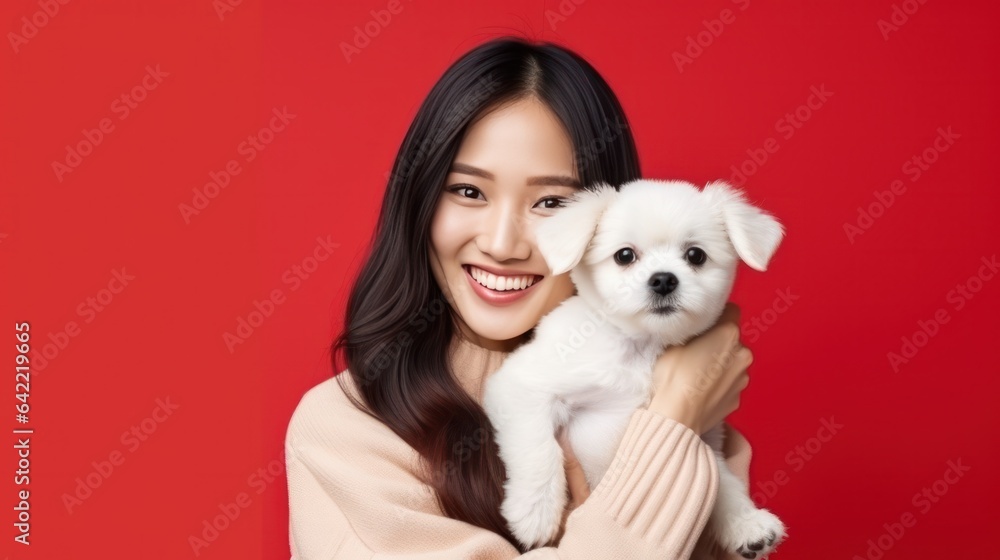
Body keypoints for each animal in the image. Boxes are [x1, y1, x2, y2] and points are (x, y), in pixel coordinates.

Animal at [484, 179, 788, 556]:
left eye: (696, 255)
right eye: (625, 256)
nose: (663, 280)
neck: (643, 347)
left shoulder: (700, 436)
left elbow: (719, 479)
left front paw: (745, 522)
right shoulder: (519, 385)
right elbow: (538, 447)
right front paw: (534, 511)